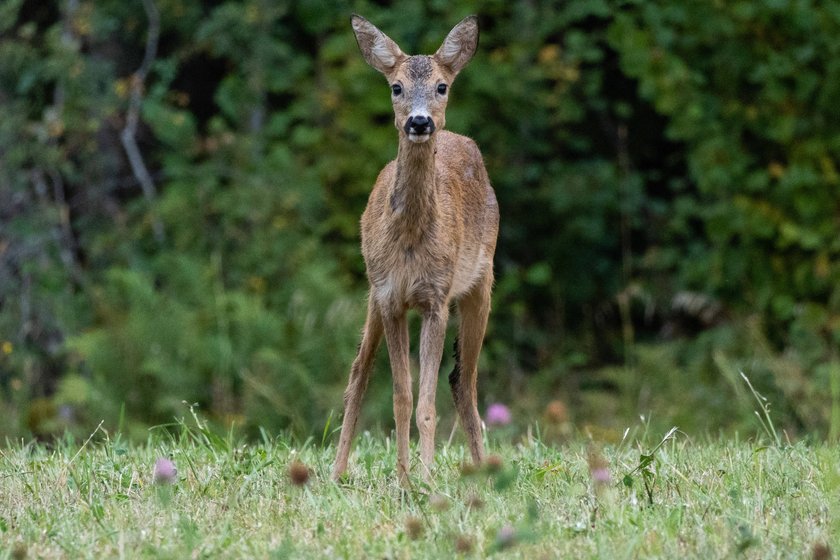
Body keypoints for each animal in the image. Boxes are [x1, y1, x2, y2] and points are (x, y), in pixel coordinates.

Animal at [332, 14, 499, 485]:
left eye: (442, 86)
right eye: (396, 86)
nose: (420, 122)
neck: (409, 242)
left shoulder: (435, 298)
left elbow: (425, 404)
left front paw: (423, 480)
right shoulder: (390, 295)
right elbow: (401, 398)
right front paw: (404, 479)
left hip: (482, 281)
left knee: (464, 377)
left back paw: (482, 470)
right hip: (371, 291)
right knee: (358, 372)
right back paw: (335, 472)